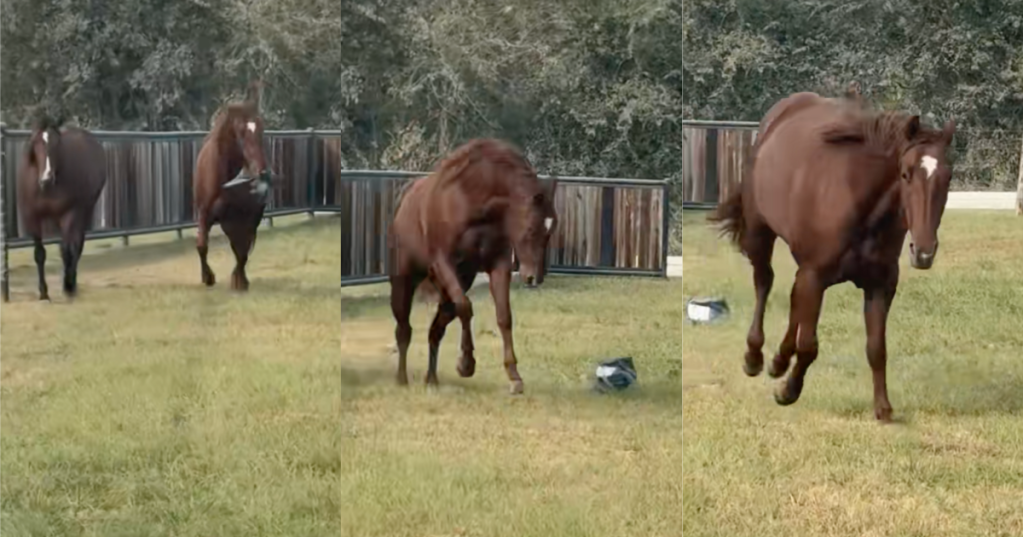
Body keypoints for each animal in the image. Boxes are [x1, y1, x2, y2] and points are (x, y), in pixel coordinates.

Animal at [16, 116, 107, 301]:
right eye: (36, 143)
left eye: (57, 144)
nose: (47, 178)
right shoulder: (32, 216)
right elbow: (40, 253)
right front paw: (43, 292)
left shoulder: (69, 213)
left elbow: (67, 249)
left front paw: (68, 286)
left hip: (85, 210)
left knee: (76, 246)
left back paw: (71, 283)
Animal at [192, 95, 273, 291]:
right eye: (241, 132)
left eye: (262, 128)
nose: (263, 172)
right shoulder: (205, 214)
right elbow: (202, 245)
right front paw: (208, 277)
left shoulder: (246, 217)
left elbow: (242, 249)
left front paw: (239, 280)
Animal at [388, 138, 559, 394]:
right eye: (531, 229)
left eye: (551, 232)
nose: (533, 277)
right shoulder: (443, 263)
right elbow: (466, 307)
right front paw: (466, 364)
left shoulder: (498, 265)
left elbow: (504, 316)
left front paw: (514, 377)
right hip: (404, 282)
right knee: (404, 330)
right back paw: (401, 378)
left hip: (452, 288)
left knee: (435, 330)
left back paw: (431, 379)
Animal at [709, 91, 956, 422]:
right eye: (905, 174)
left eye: (948, 177)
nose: (924, 252)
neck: (860, 205)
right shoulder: (816, 275)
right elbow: (809, 346)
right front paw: (788, 392)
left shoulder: (880, 285)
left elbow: (876, 347)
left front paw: (883, 407)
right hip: (761, 233)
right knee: (764, 283)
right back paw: (754, 357)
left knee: (793, 298)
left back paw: (778, 360)